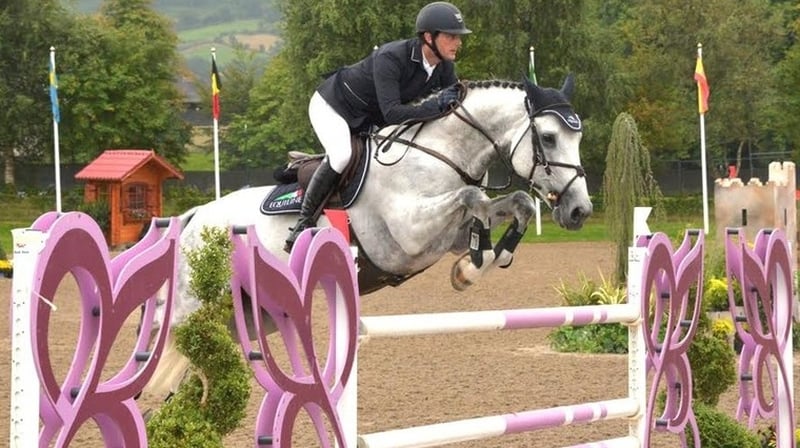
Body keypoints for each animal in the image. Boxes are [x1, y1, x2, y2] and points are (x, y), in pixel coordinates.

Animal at [143, 74, 593, 398]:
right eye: (548, 137)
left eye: (578, 136)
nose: (579, 211)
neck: (440, 154)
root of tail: (195, 216)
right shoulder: (408, 236)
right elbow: (473, 197)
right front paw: (473, 263)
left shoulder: (445, 237)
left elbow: (515, 203)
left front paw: (476, 264)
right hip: (194, 306)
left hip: (255, 318)